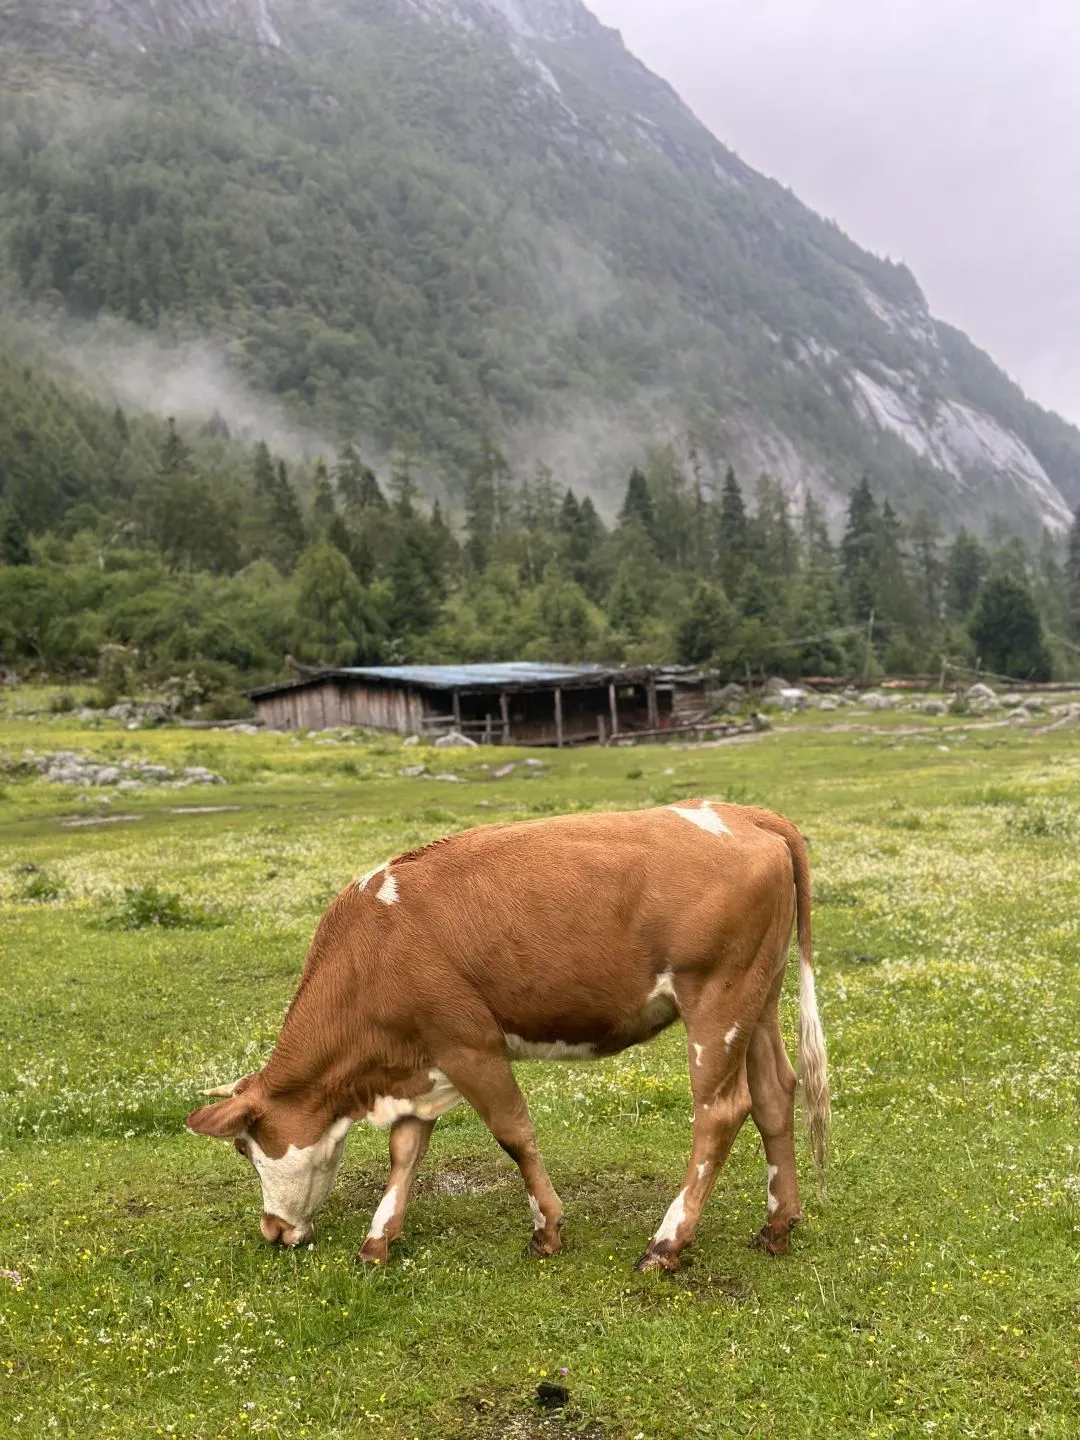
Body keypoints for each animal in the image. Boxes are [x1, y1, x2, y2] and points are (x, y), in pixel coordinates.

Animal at [188, 800, 829, 1272]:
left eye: (245, 1148)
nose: (272, 1230)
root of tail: (741, 813)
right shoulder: (421, 1059)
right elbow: (405, 1151)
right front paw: (378, 1240)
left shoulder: (469, 1044)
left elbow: (513, 1133)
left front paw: (547, 1229)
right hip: (757, 998)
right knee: (775, 1093)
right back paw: (777, 1226)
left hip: (716, 1002)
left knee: (721, 1110)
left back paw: (667, 1242)